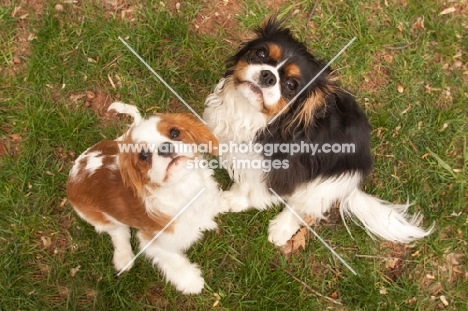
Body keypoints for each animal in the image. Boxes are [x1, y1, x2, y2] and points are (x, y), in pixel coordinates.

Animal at [66, 102, 224, 294]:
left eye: (174, 132)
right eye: (143, 155)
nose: (165, 147)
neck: (182, 187)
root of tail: (76, 168)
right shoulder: (153, 240)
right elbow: (174, 261)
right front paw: (191, 282)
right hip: (97, 217)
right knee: (118, 231)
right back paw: (124, 258)